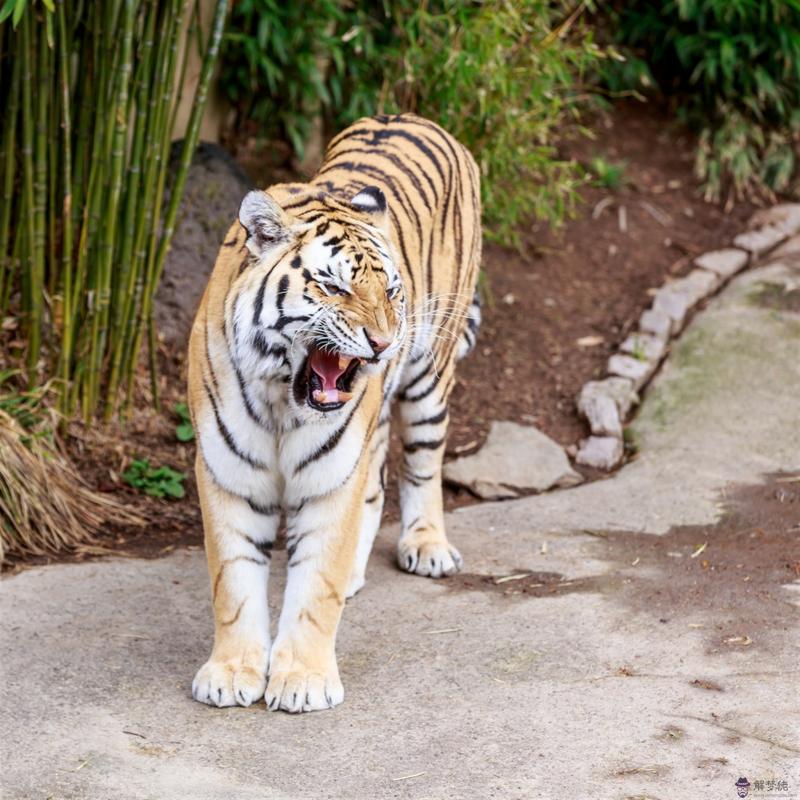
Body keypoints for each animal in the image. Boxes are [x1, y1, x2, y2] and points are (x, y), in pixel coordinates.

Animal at [189, 111, 482, 712]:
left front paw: (302, 680)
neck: (281, 397)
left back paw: (427, 546)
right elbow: (233, 582)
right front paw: (231, 672)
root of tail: (413, 115)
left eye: (391, 290)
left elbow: (314, 588)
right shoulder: (228, 474)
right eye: (334, 287)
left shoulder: (330, 474)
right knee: (375, 482)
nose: (384, 343)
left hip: (430, 377)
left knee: (423, 465)